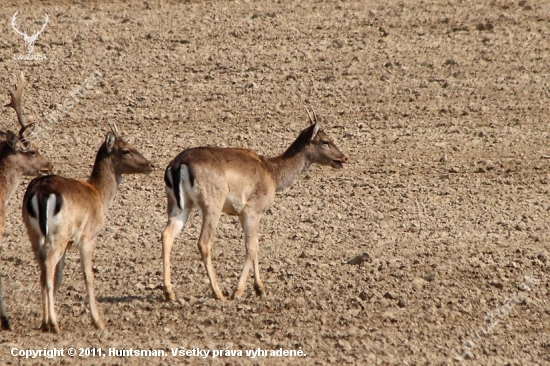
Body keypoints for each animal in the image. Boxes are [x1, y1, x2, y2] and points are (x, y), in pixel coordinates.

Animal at [22, 123, 153, 334]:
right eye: (126, 149)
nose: (150, 165)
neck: (99, 194)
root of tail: (40, 193)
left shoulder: (68, 244)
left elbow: (60, 276)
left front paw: (45, 321)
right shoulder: (87, 237)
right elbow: (88, 275)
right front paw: (98, 321)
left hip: (34, 233)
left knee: (43, 269)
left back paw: (46, 322)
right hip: (59, 234)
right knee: (48, 265)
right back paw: (55, 324)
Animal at [162, 108, 348, 300]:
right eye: (325, 140)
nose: (344, 158)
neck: (273, 173)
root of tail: (177, 165)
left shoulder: (243, 213)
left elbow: (257, 245)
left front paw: (260, 288)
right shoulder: (253, 209)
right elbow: (251, 247)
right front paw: (238, 291)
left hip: (178, 204)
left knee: (166, 235)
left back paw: (169, 292)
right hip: (212, 204)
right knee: (203, 242)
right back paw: (218, 293)